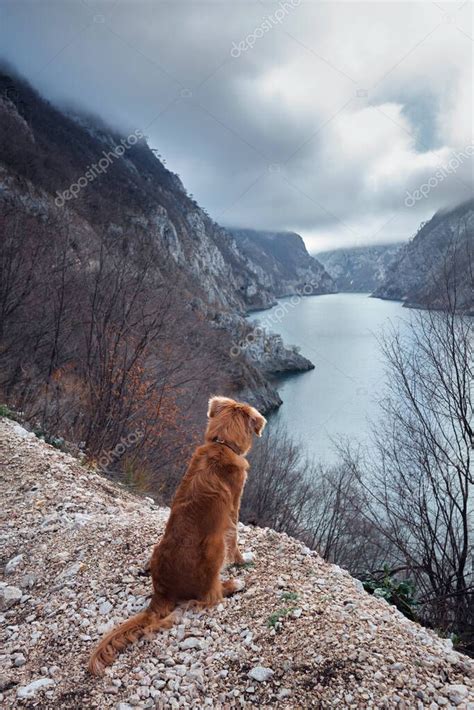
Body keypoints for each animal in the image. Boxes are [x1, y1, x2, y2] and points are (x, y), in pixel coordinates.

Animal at [89, 398, 266, 676]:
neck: (221, 443)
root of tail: (163, 591)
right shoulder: (233, 508)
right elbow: (235, 538)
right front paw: (243, 560)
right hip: (214, 547)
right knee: (210, 596)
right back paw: (233, 584)